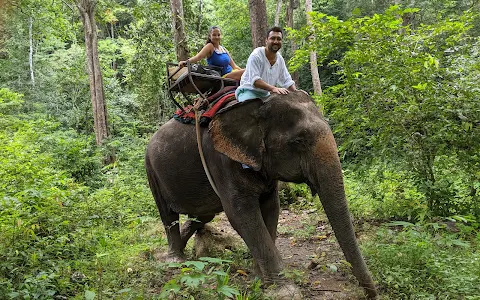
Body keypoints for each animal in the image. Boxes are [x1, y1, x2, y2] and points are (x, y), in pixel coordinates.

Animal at [144, 91, 376, 298]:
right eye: (298, 141)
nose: (372, 294)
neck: (255, 104)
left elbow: (272, 209)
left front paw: (260, 278)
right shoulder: (221, 161)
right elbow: (241, 215)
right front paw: (285, 292)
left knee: (203, 215)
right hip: (151, 170)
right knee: (167, 214)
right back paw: (175, 260)